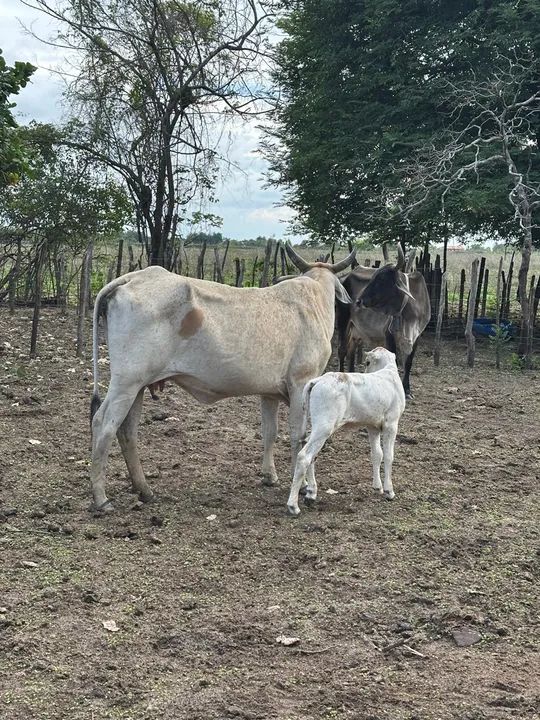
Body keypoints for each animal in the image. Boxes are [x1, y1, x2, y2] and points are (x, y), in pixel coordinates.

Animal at [89, 245, 355, 512]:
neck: (315, 300)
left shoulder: (269, 393)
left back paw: (144, 490)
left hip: (138, 386)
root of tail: (135, 277)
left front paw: (269, 476)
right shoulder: (301, 383)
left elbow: (270, 432)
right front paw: (302, 486)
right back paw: (101, 498)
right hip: (126, 383)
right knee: (103, 424)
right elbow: (298, 436)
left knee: (127, 431)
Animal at [287, 347, 406, 516]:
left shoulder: (373, 427)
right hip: (324, 426)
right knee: (304, 456)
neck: (388, 373)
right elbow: (389, 456)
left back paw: (311, 493)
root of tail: (317, 381)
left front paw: (378, 487)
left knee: (309, 451)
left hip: (316, 425)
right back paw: (293, 506)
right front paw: (389, 491)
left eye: (368, 362)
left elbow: (377, 454)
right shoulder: (391, 424)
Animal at [336, 246, 430, 399]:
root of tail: (345, 277)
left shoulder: (417, 336)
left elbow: (408, 362)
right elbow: (395, 361)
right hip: (343, 321)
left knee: (351, 350)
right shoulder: (389, 334)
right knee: (342, 350)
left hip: (356, 329)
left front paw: (407, 390)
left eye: (381, 279)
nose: (358, 301)